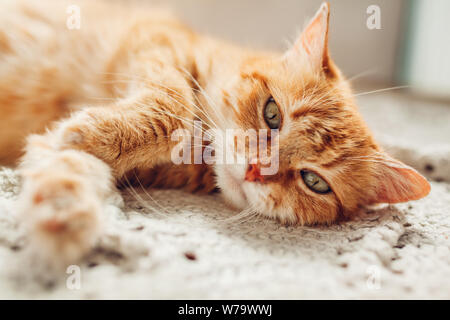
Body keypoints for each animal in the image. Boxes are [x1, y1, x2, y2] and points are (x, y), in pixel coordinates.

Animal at [0, 0, 428, 268]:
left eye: (314, 182)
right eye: (272, 114)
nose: (256, 169)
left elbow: (71, 164)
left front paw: (62, 210)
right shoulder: (154, 42)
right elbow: (174, 107)